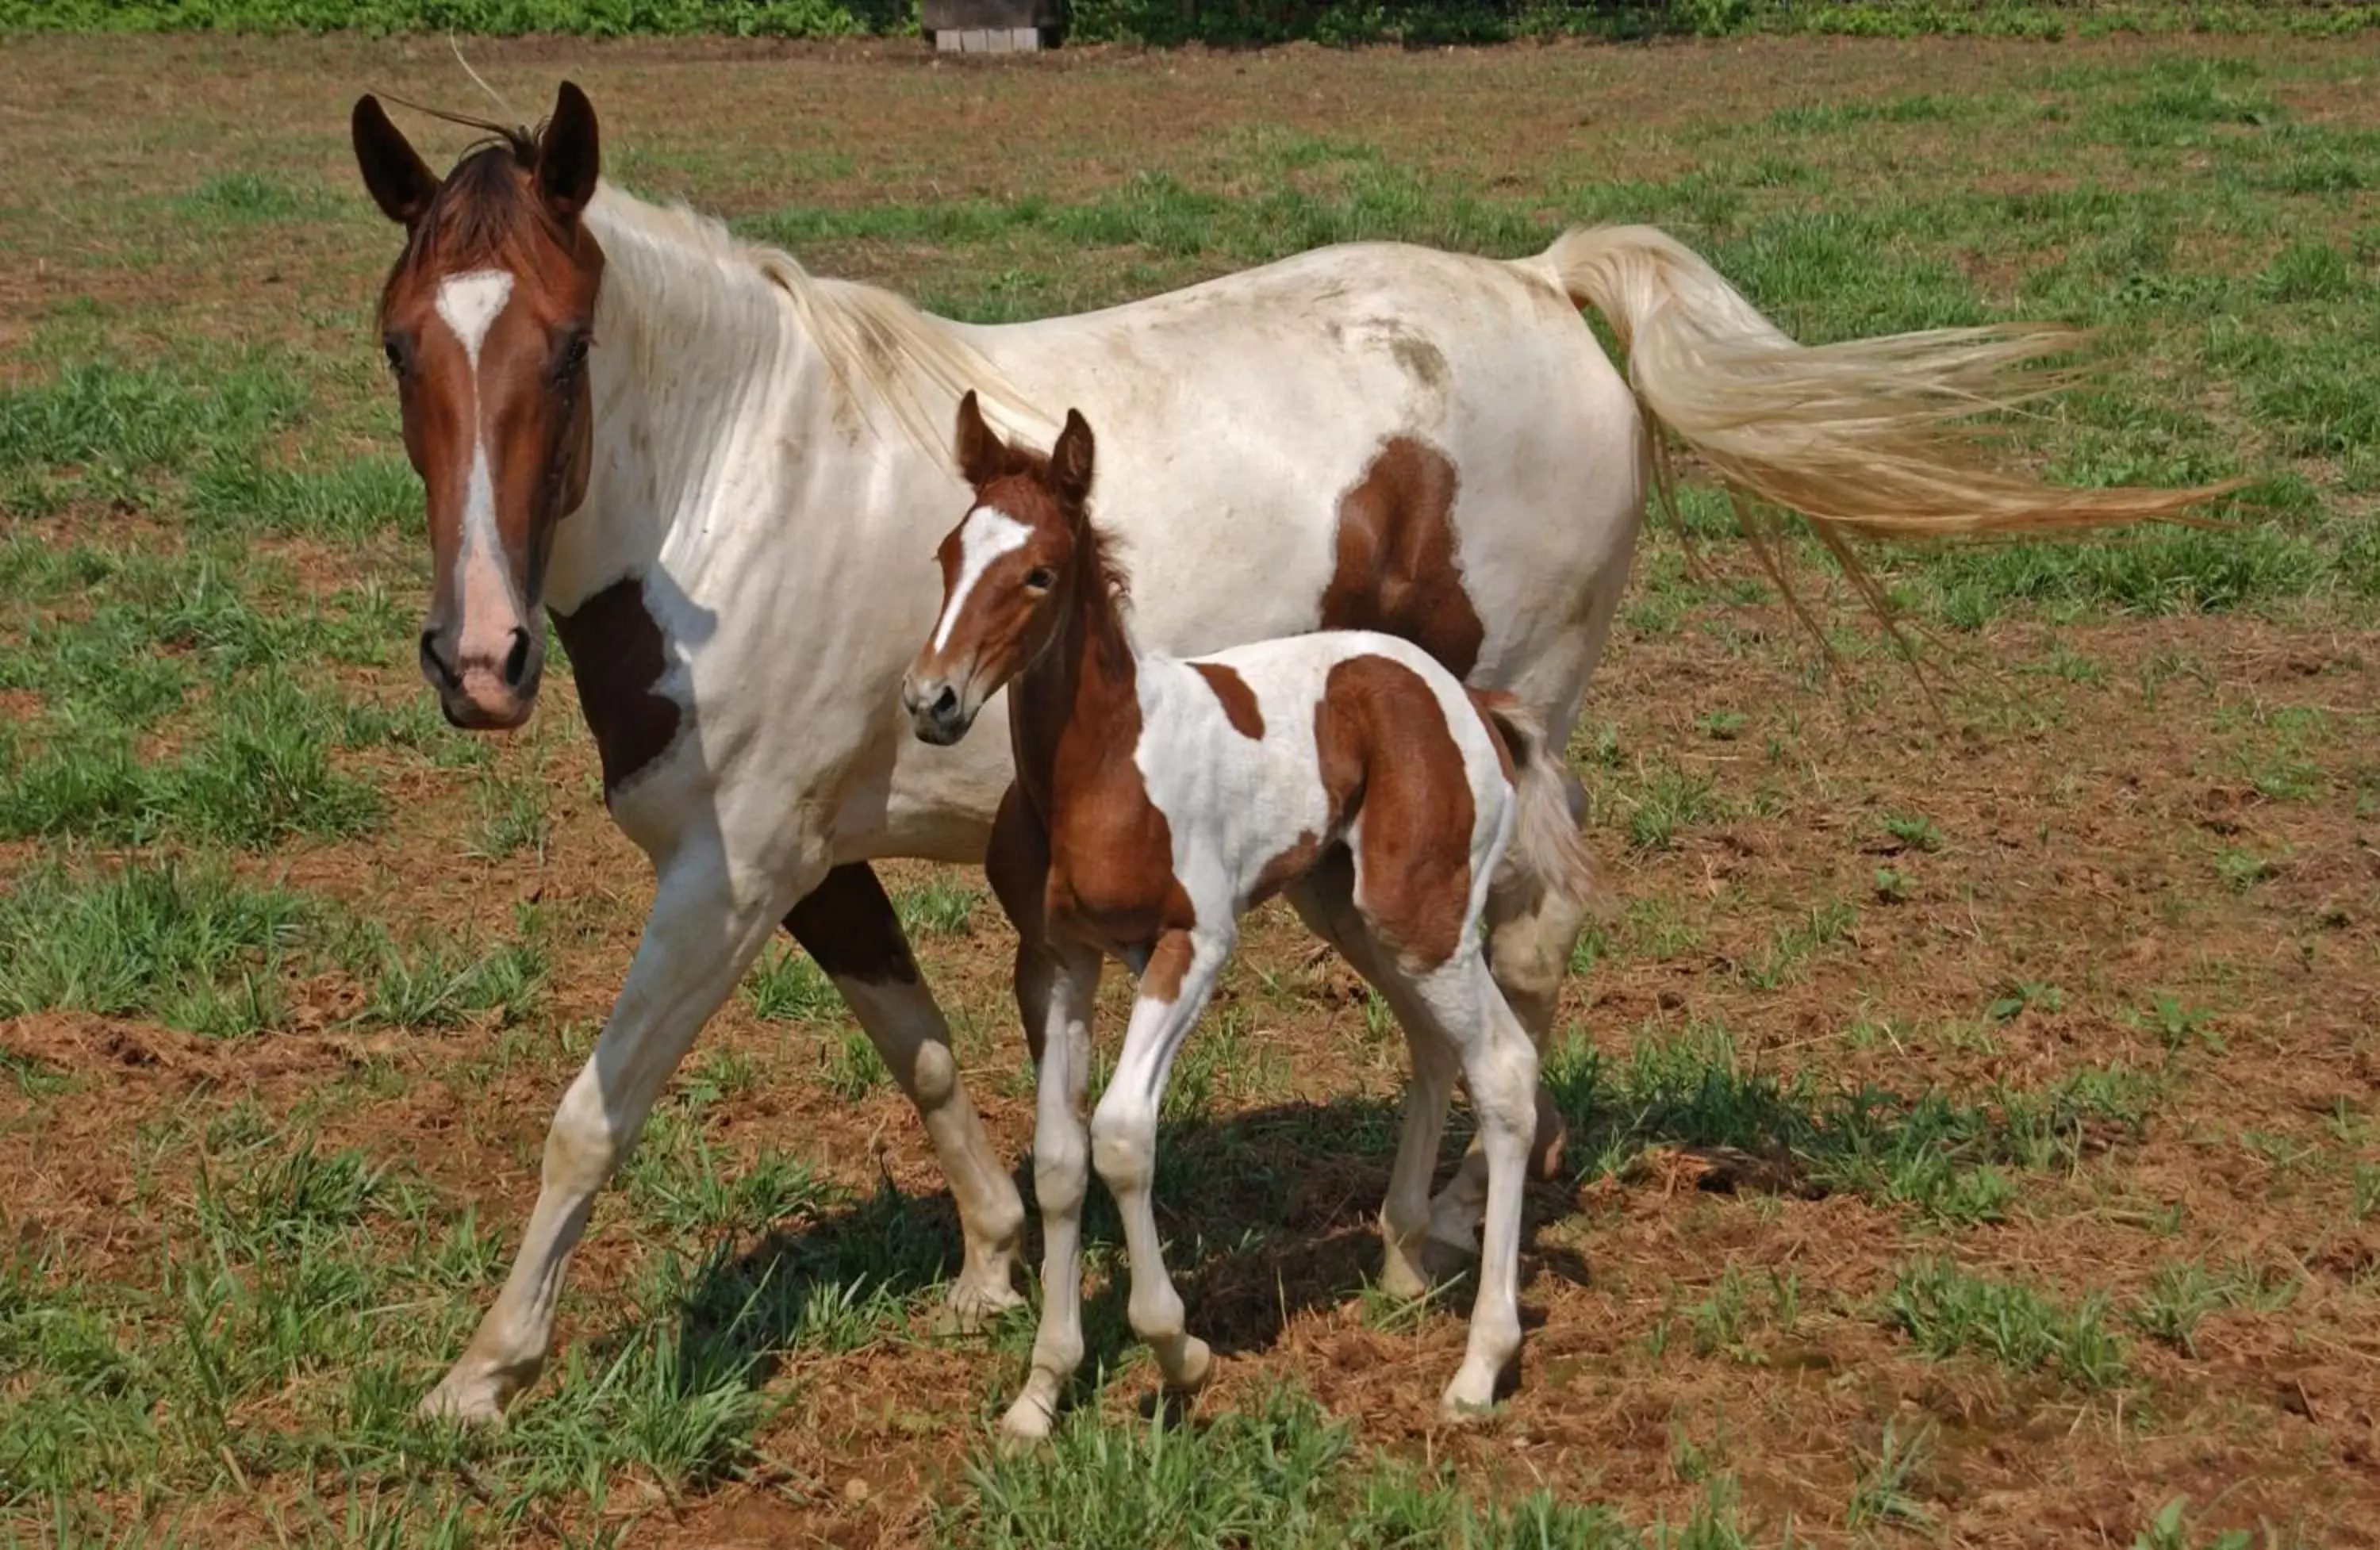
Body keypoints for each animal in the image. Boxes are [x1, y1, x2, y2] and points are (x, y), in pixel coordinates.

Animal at [904, 397, 1599, 1447]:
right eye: (949, 555)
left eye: (1039, 573)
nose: (931, 701)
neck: (1100, 765)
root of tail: (1466, 699)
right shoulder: (1056, 959)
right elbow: (1062, 1160)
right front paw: (1041, 1392)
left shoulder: (1191, 945)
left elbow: (1121, 1135)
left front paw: (1178, 1349)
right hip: (1355, 911)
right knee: (1436, 1047)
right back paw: (1401, 1263)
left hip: (1423, 913)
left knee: (1506, 1069)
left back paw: (1481, 1366)